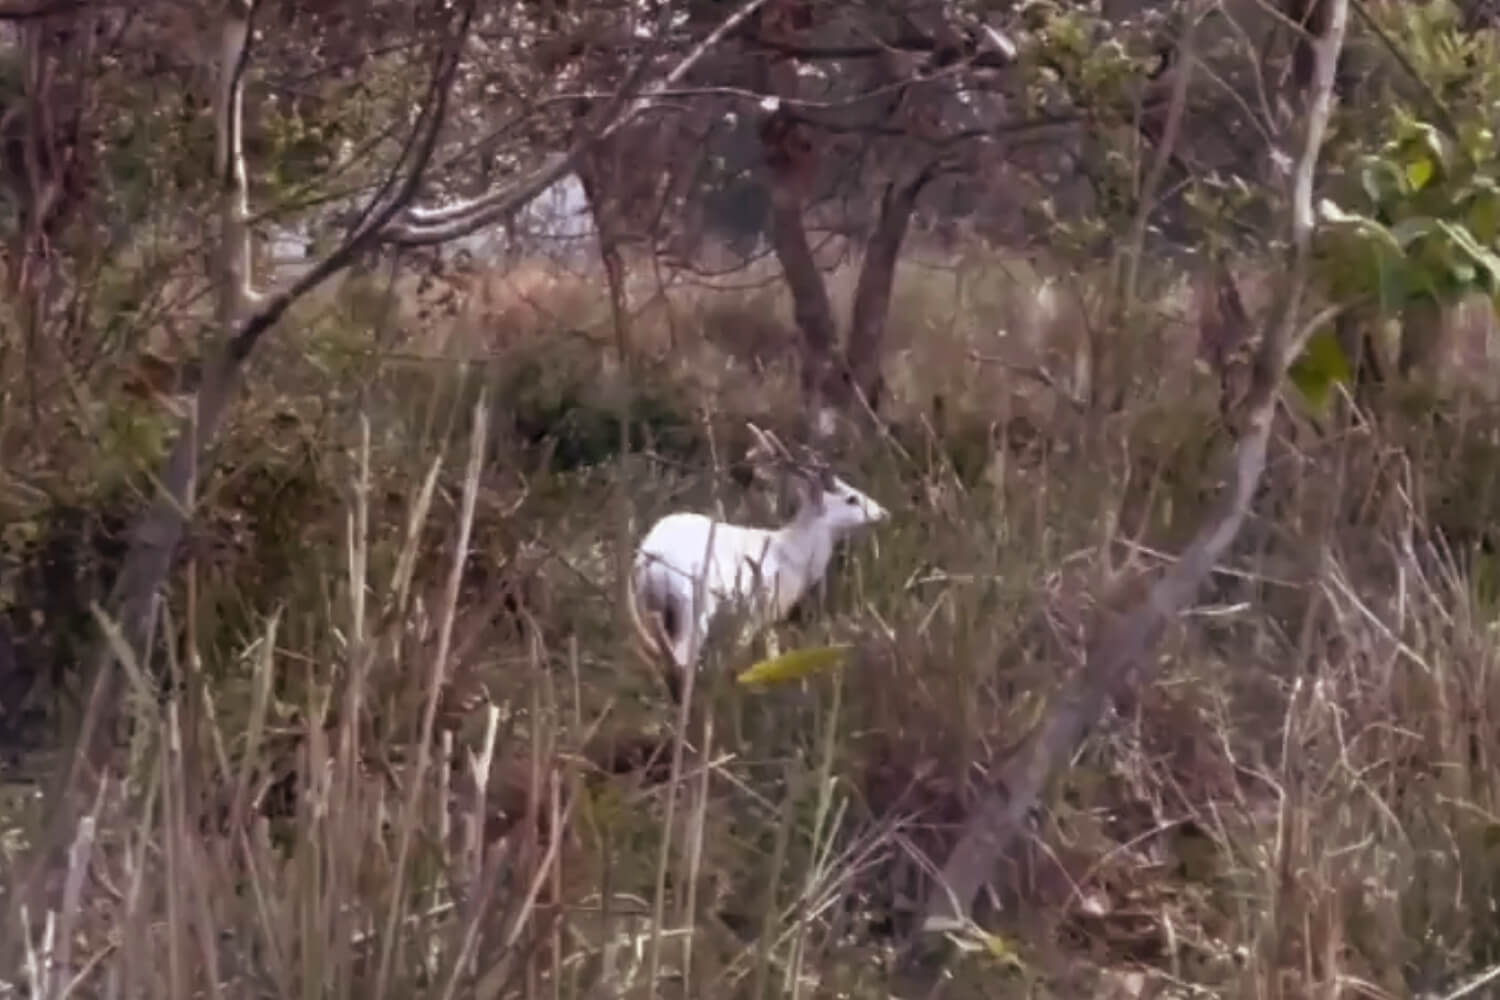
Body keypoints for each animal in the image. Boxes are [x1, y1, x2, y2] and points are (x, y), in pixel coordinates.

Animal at [627, 422, 889, 690]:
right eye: (852, 499)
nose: (882, 512)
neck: (792, 553)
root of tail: (650, 558)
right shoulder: (758, 611)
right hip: (692, 603)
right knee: (681, 657)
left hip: (646, 605)